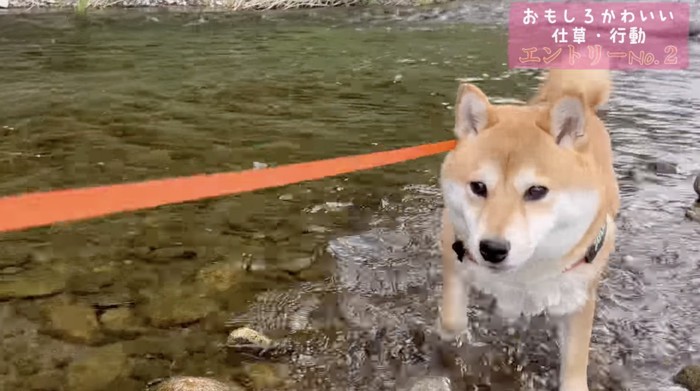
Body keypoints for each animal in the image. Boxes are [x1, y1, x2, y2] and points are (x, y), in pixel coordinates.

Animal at [440, 70, 620, 391]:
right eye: (478, 187)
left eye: (536, 191)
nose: (492, 249)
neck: (524, 272)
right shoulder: (454, 246)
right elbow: (452, 319)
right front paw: (451, 335)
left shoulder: (579, 295)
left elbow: (575, 362)